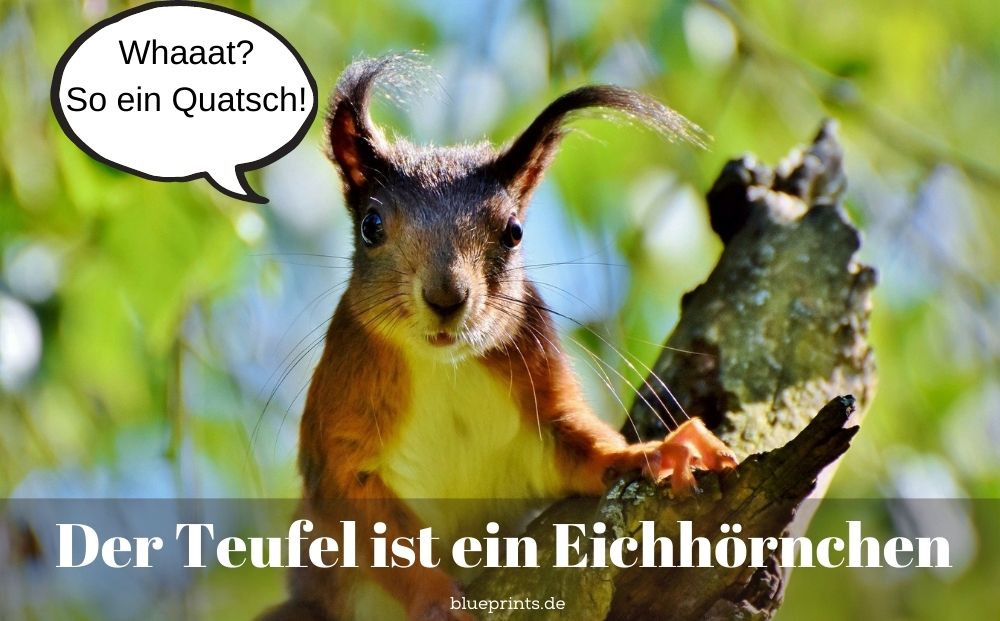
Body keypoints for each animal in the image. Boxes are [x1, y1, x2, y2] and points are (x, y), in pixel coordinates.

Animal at [260, 55, 737, 621]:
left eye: (514, 231)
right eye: (371, 226)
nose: (446, 297)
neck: (445, 366)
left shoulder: (540, 399)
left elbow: (581, 449)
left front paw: (660, 451)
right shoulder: (341, 430)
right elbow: (368, 525)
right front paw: (437, 599)